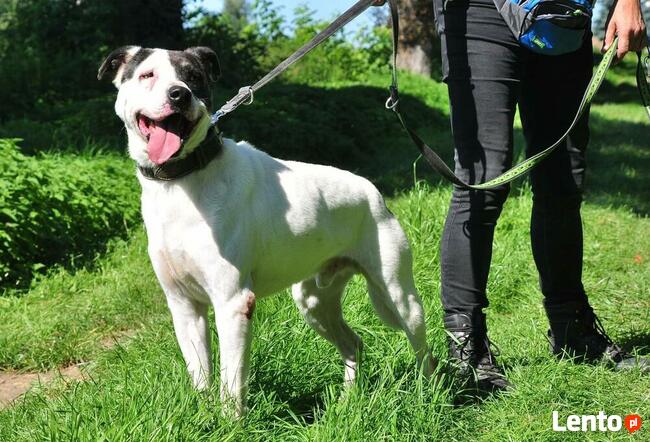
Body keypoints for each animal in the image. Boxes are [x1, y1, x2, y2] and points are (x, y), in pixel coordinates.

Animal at [98, 46, 436, 416]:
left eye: (193, 76)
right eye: (148, 75)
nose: (179, 95)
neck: (183, 183)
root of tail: (374, 193)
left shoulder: (233, 303)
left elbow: (231, 382)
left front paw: (230, 423)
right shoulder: (184, 305)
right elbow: (200, 374)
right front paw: (203, 417)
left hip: (399, 296)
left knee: (424, 353)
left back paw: (429, 397)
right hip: (313, 302)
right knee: (354, 344)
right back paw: (347, 402)